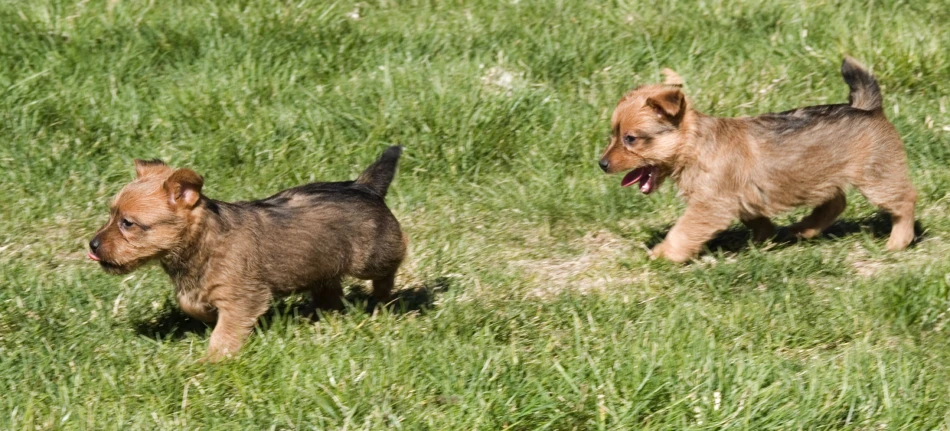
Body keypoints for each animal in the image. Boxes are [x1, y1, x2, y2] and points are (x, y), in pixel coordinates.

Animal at [85, 147, 406, 362]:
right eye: (111, 215)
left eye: (128, 223)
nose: (92, 245)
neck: (205, 239)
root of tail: (364, 186)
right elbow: (191, 303)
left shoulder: (241, 298)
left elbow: (225, 332)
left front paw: (212, 361)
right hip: (322, 262)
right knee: (330, 291)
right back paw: (316, 316)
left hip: (371, 256)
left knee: (394, 261)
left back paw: (383, 299)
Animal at [600, 57, 920, 264]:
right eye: (613, 135)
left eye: (630, 138)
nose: (601, 164)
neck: (696, 145)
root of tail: (867, 108)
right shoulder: (740, 198)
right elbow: (758, 221)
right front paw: (762, 240)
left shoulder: (709, 206)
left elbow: (684, 230)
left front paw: (664, 254)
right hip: (821, 176)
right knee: (835, 203)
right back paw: (803, 229)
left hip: (877, 176)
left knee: (904, 200)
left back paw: (898, 241)